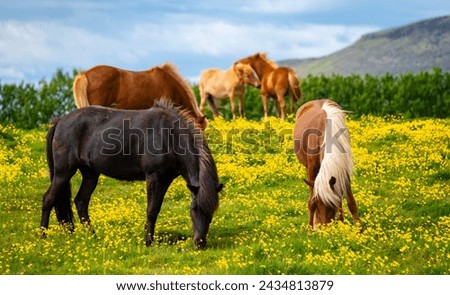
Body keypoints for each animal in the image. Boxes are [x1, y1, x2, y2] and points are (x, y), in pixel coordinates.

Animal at [39, 100, 222, 249]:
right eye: (194, 208)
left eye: (212, 212)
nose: (200, 243)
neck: (169, 135)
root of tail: (60, 121)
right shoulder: (154, 177)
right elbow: (151, 210)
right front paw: (148, 242)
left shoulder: (165, 179)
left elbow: (155, 209)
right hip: (63, 172)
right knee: (48, 199)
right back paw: (42, 236)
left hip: (90, 174)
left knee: (81, 202)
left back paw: (93, 237)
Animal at [294, 99, 360, 229]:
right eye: (318, 204)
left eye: (331, 204)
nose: (325, 228)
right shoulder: (312, 169)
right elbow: (311, 201)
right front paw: (311, 228)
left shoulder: (343, 169)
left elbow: (350, 201)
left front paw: (359, 228)